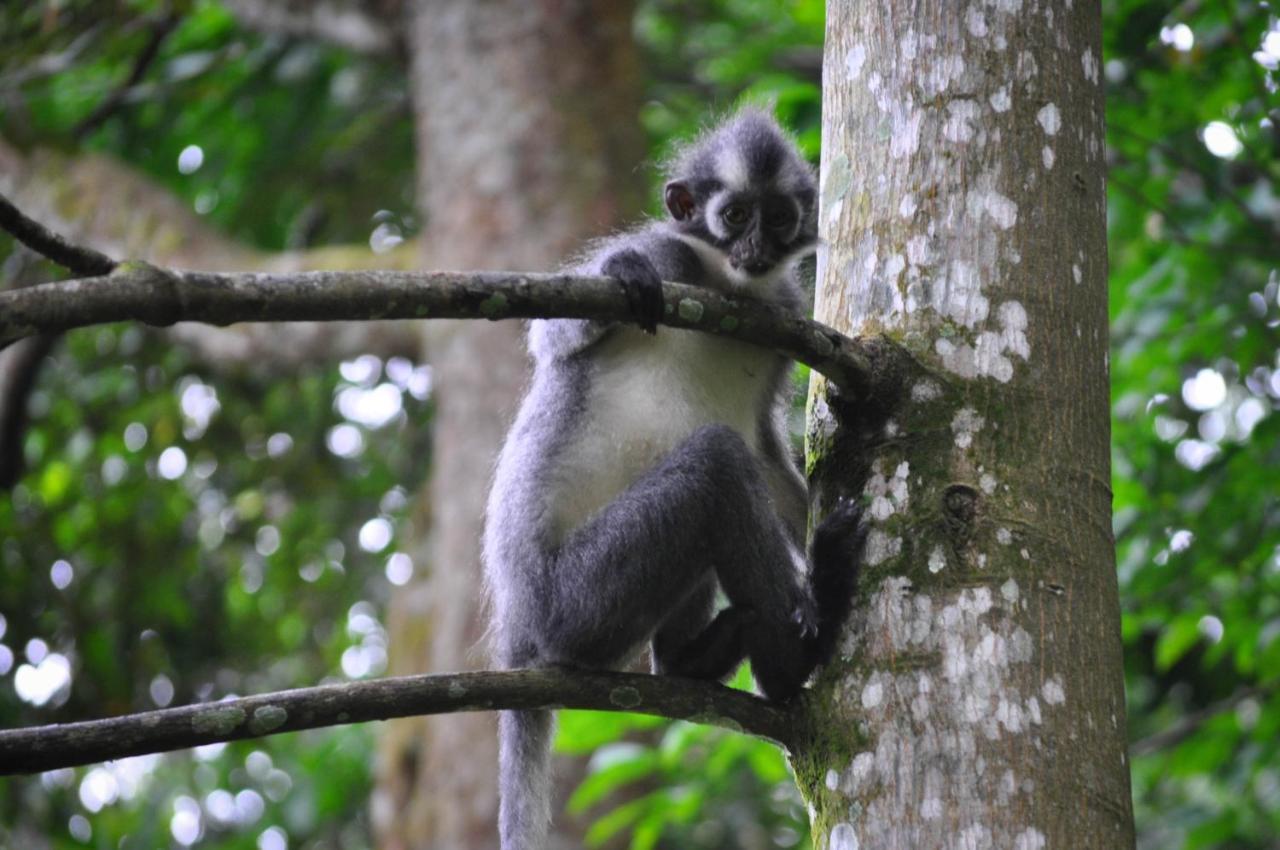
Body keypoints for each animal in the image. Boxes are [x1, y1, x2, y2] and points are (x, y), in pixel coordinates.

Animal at [481, 112, 870, 850]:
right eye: (735, 215)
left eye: (779, 219)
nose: (754, 246)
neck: (726, 286)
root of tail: (519, 633)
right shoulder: (665, 256)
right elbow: (553, 335)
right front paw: (620, 275)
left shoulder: (783, 319)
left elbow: (768, 457)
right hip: (575, 605)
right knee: (716, 462)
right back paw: (793, 657)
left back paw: (697, 657)